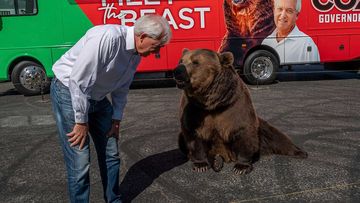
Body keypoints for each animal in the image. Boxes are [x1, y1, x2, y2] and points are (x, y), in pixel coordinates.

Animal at [173, 49, 308, 174]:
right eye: (181, 60)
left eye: (195, 62)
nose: (177, 70)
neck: (211, 101)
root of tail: (226, 156)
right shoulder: (194, 108)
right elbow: (193, 134)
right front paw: (200, 164)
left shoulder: (234, 104)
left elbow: (243, 130)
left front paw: (241, 167)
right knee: (181, 140)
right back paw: (216, 160)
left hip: (262, 129)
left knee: (276, 136)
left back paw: (300, 152)